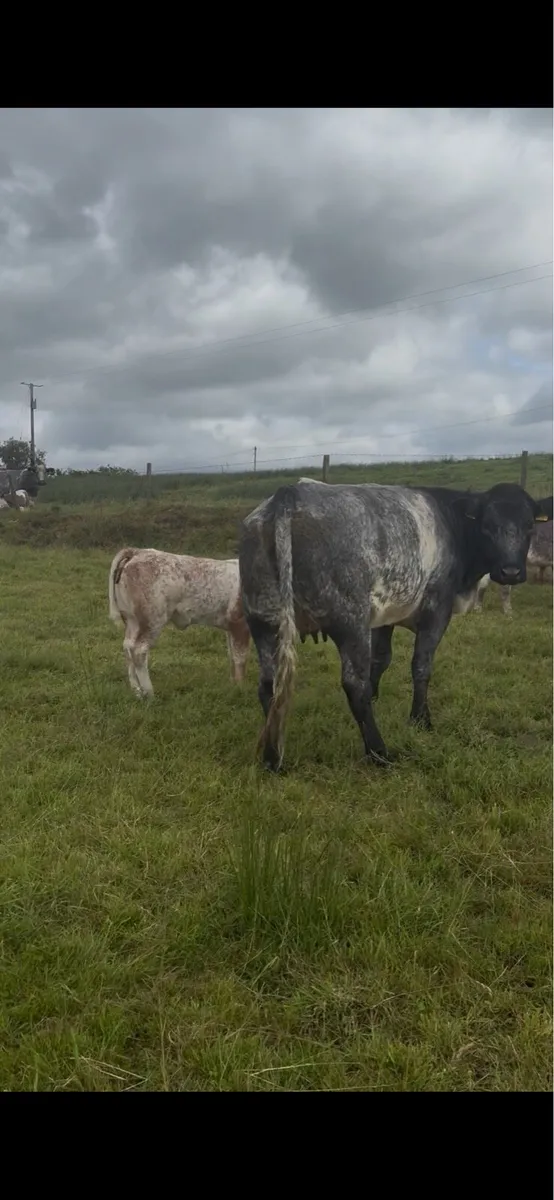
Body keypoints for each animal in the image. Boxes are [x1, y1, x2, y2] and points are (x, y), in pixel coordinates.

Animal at [108, 547, 251, 698]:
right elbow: (240, 657)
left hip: (132, 620)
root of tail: (137, 551)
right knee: (139, 650)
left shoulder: (230, 627)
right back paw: (149, 693)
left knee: (128, 646)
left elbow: (232, 656)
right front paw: (240, 688)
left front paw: (233, 684)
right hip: (153, 619)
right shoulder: (240, 622)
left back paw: (137, 691)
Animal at [239, 479, 553, 773]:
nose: (510, 572)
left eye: (529, 526)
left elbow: (381, 660)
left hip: (264, 622)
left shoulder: (383, 616)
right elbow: (421, 666)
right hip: (350, 623)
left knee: (268, 685)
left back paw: (272, 758)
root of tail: (288, 496)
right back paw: (379, 752)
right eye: (487, 525)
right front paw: (421, 719)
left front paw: (378, 696)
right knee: (354, 684)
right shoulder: (436, 609)